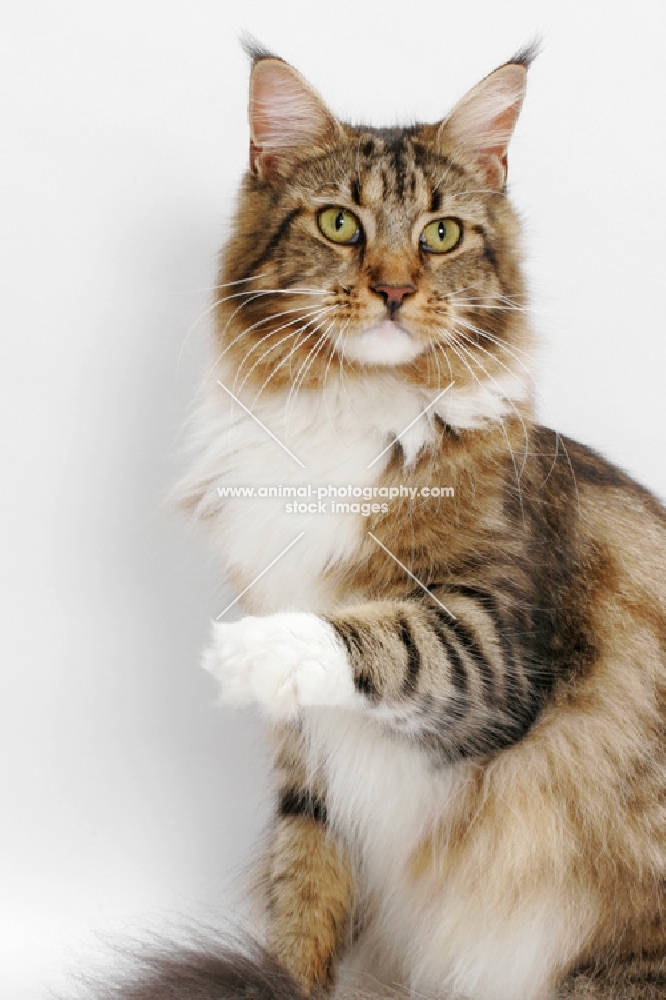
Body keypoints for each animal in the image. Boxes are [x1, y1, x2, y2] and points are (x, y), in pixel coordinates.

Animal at [98, 43, 664, 1000]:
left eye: (441, 235)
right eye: (339, 224)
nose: (395, 290)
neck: (348, 412)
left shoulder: (503, 652)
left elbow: (393, 633)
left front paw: (245, 651)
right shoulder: (307, 763)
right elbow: (305, 891)